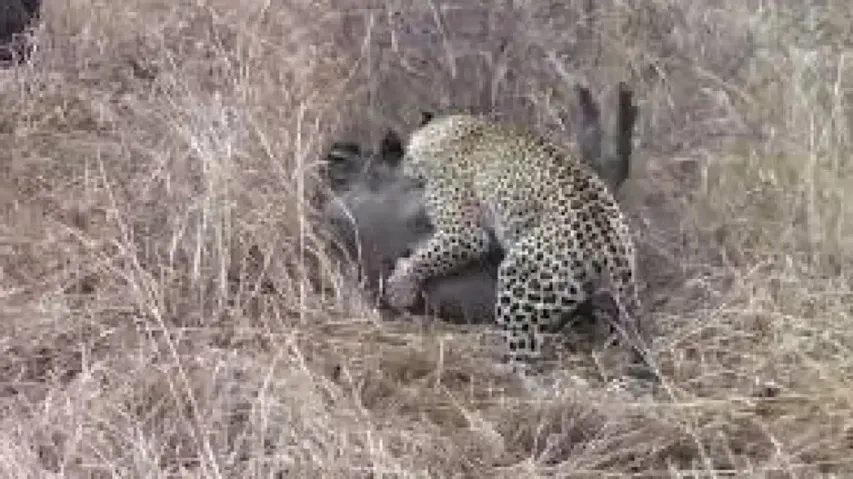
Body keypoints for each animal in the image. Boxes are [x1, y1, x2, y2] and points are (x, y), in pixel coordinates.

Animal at [382, 90, 648, 377]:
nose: (401, 168)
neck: (455, 131)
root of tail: (612, 242)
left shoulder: (465, 233)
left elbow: (429, 255)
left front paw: (400, 285)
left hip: (521, 276)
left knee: (524, 354)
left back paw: (497, 369)